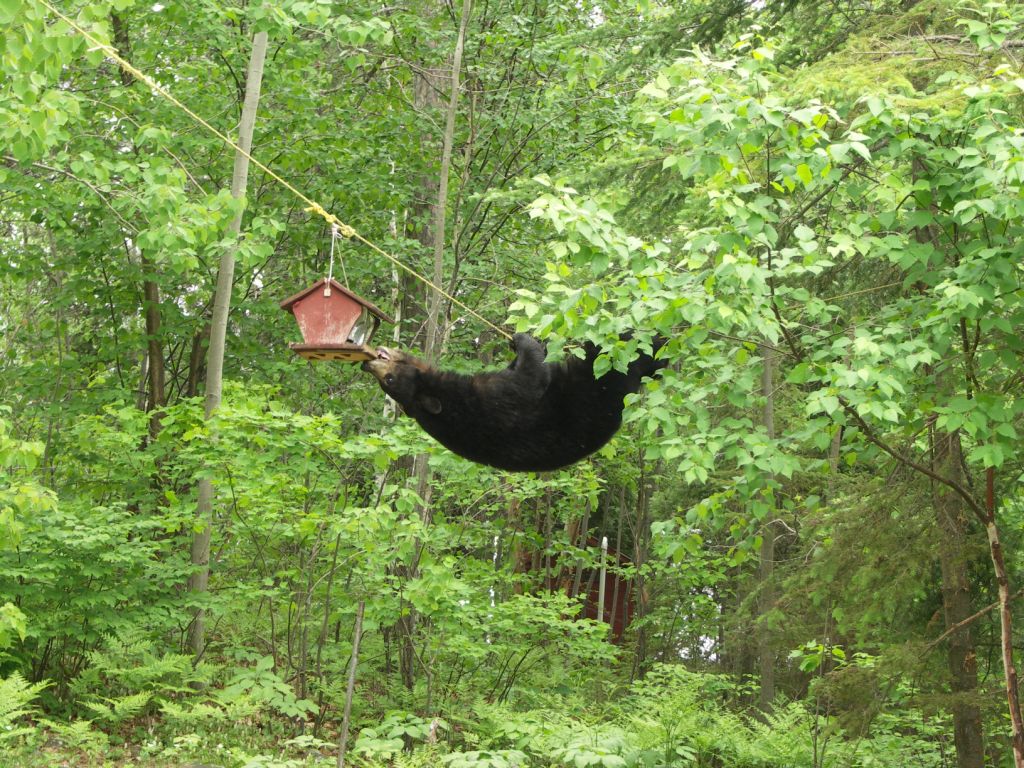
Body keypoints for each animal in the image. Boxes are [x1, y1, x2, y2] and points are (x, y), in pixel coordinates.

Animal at [361, 333, 667, 472]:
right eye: (389, 381)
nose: (368, 365)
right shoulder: (491, 400)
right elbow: (531, 379)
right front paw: (524, 341)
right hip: (606, 377)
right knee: (625, 353)